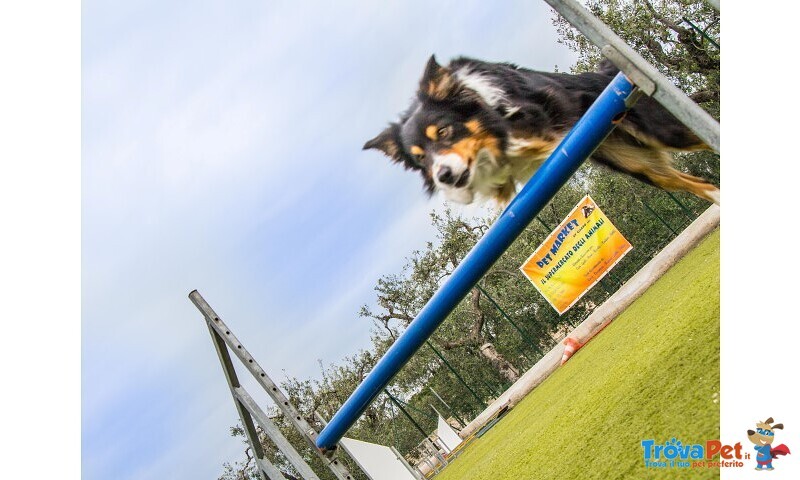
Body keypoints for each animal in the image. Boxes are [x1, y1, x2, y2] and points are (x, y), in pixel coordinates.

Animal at [362, 56, 720, 206]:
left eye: (445, 132)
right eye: (420, 160)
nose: (444, 176)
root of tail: (611, 73)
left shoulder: (536, 120)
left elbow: (515, 134)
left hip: (668, 131)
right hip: (639, 166)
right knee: (701, 184)